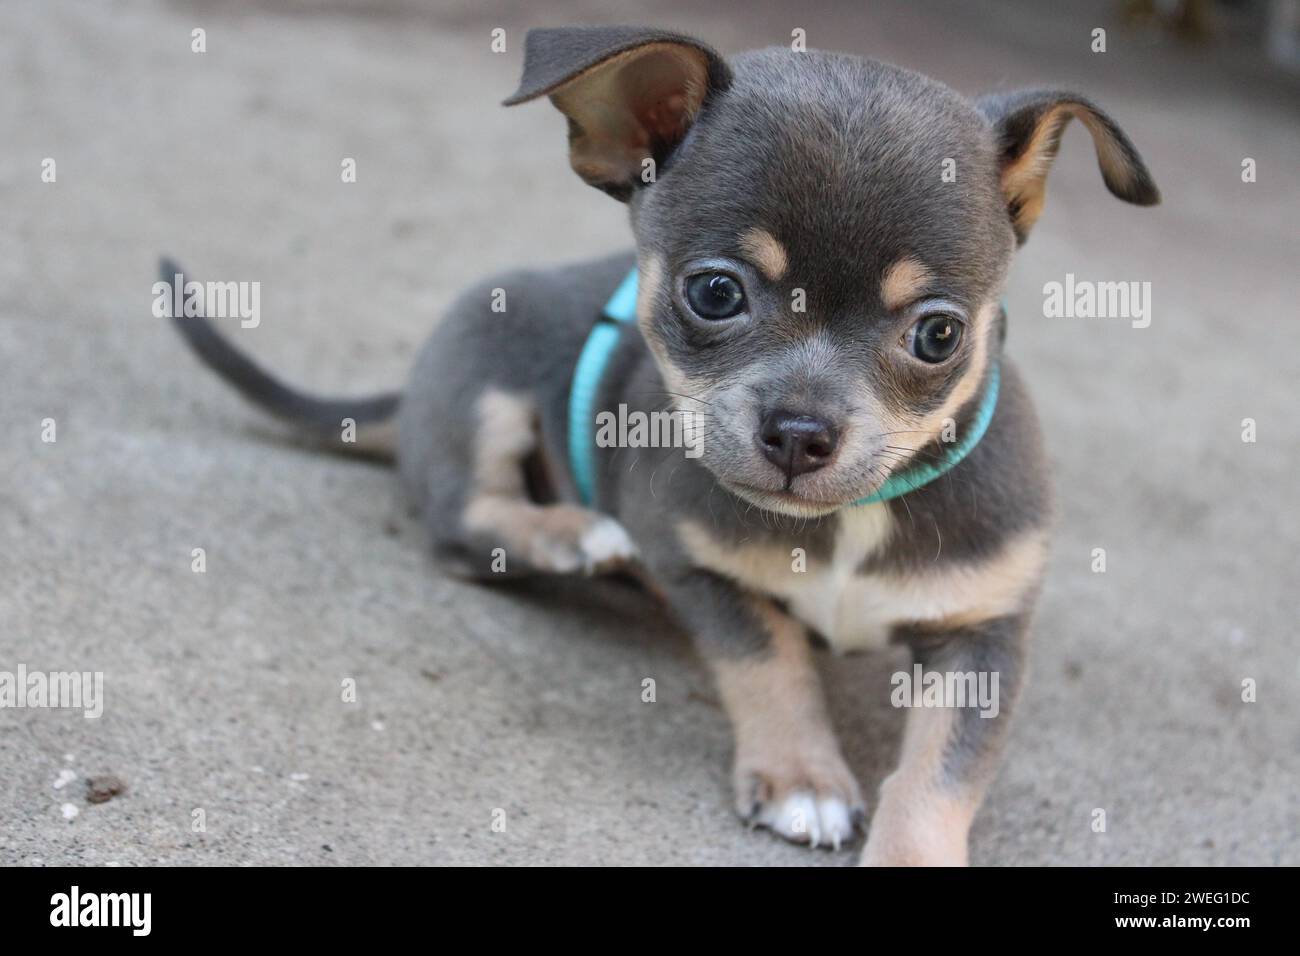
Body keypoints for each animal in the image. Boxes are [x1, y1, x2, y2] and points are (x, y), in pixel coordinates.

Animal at [172, 24, 1159, 868]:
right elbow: (770, 661)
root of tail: (409, 397)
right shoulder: (697, 566)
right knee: (465, 524)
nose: (799, 433)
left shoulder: (984, 640)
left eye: (939, 336)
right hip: (487, 372)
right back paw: (574, 539)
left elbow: (939, 775)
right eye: (716, 293)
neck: (849, 524)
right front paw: (801, 776)